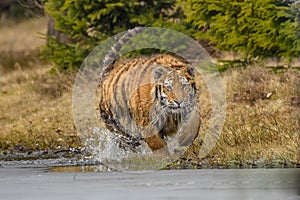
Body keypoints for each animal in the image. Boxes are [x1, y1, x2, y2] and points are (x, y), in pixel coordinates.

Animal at [99, 27, 202, 156]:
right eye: (168, 87)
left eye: (184, 86)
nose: (179, 102)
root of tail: (107, 75)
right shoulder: (146, 123)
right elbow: (158, 145)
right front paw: (166, 158)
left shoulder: (190, 106)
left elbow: (194, 123)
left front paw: (183, 141)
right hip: (114, 123)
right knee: (125, 141)